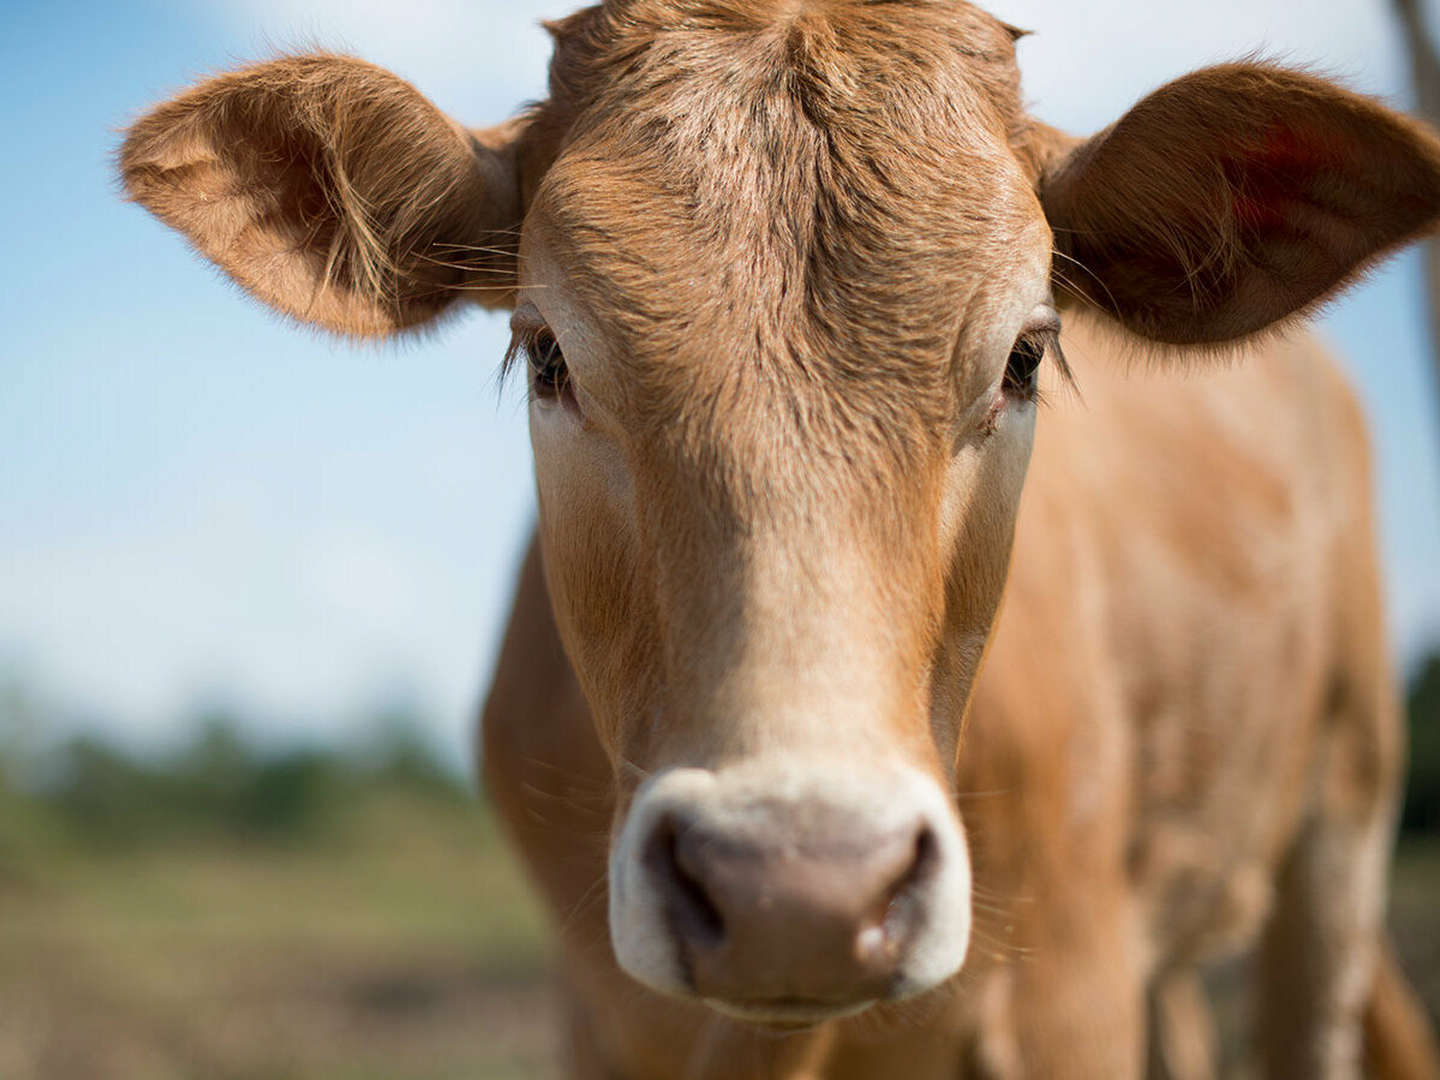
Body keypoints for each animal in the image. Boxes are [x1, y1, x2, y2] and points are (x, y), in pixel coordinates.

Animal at [118, 2, 1440, 1080]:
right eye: (547, 354)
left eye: (1023, 355)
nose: (794, 890)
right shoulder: (596, 1019)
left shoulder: (1077, 997)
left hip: (1342, 818)